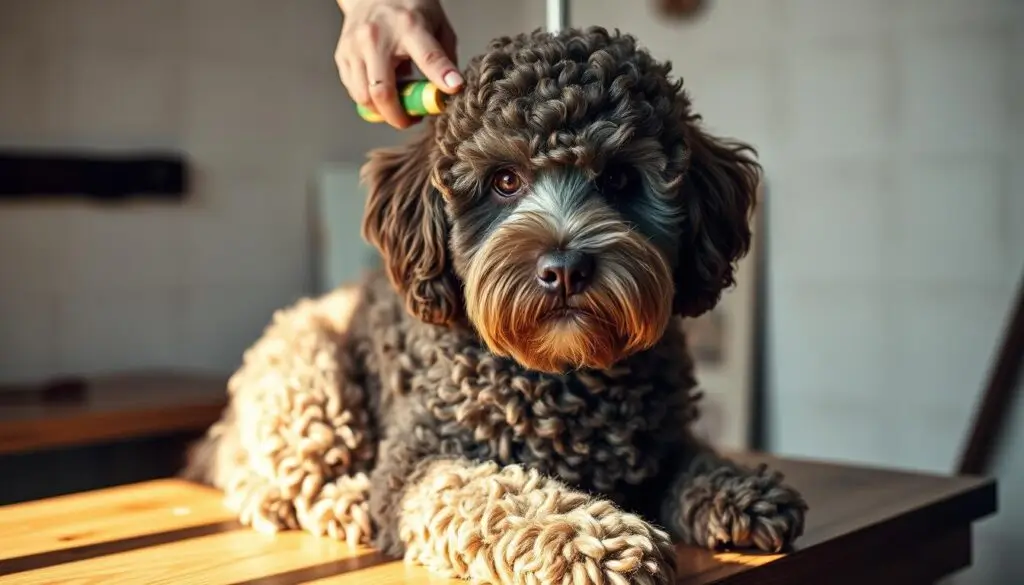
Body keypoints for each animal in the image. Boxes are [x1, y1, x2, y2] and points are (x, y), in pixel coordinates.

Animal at [186, 25, 806, 581]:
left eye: (619, 178)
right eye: (505, 180)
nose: (564, 270)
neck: (563, 376)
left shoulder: (662, 438)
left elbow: (693, 459)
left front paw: (741, 490)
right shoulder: (421, 460)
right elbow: (497, 491)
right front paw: (593, 538)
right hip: (308, 371)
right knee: (274, 479)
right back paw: (346, 500)